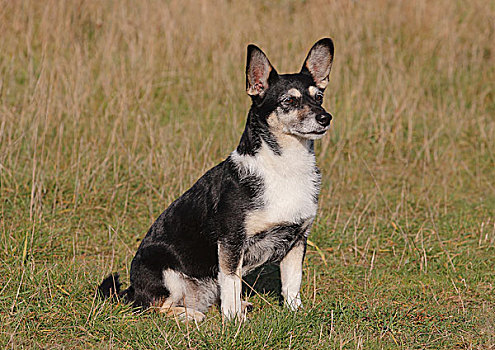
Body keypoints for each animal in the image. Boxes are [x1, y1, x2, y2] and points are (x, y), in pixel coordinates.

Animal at [99, 38, 336, 322]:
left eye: (319, 97)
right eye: (289, 100)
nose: (325, 117)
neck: (284, 168)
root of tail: (132, 289)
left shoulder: (297, 240)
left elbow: (292, 282)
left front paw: (294, 311)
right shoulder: (231, 241)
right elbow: (231, 281)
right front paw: (234, 320)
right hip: (166, 273)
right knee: (156, 308)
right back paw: (191, 315)